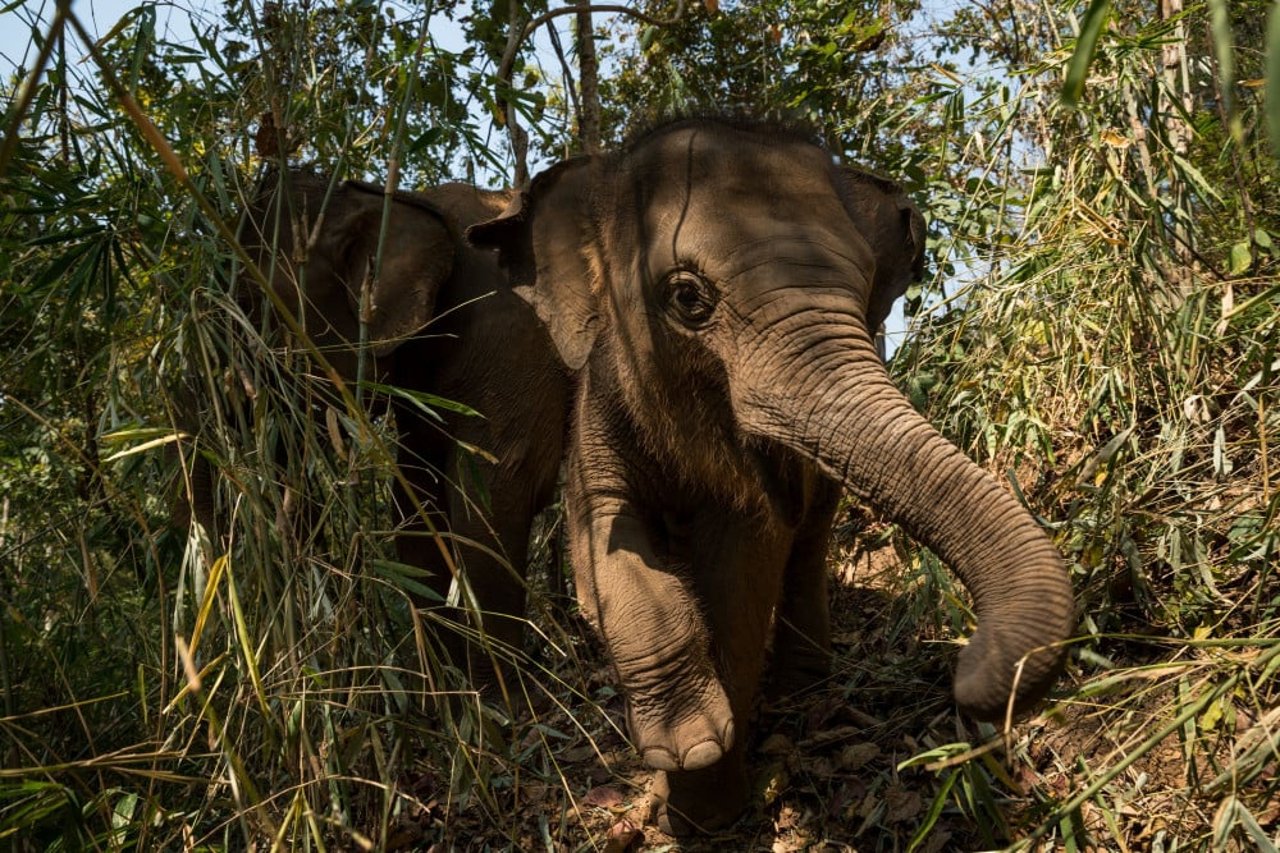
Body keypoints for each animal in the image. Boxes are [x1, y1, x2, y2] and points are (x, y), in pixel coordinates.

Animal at [465, 119, 1075, 829]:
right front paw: (688, 754)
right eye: (687, 298)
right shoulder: (599, 401)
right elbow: (605, 542)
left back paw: (803, 691)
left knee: (808, 542)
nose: (969, 674)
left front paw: (708, 804)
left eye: (867, 286)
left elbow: (746, 563)